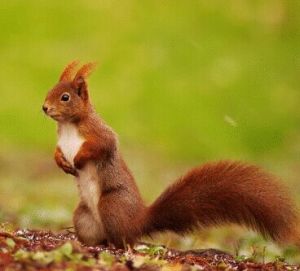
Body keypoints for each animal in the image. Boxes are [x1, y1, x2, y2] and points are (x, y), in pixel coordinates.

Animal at [43, 61, 298, 249]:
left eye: (65, 97)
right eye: (49, 91)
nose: (44, 107)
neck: (68, 125)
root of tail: (138, 222)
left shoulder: (100, 134)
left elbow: (102, 146)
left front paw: (77, 159)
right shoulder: (62, 141)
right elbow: (57, 151)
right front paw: (61, 161)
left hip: (111, 206)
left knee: (125, 242)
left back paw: (117, 246)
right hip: (83, 217)